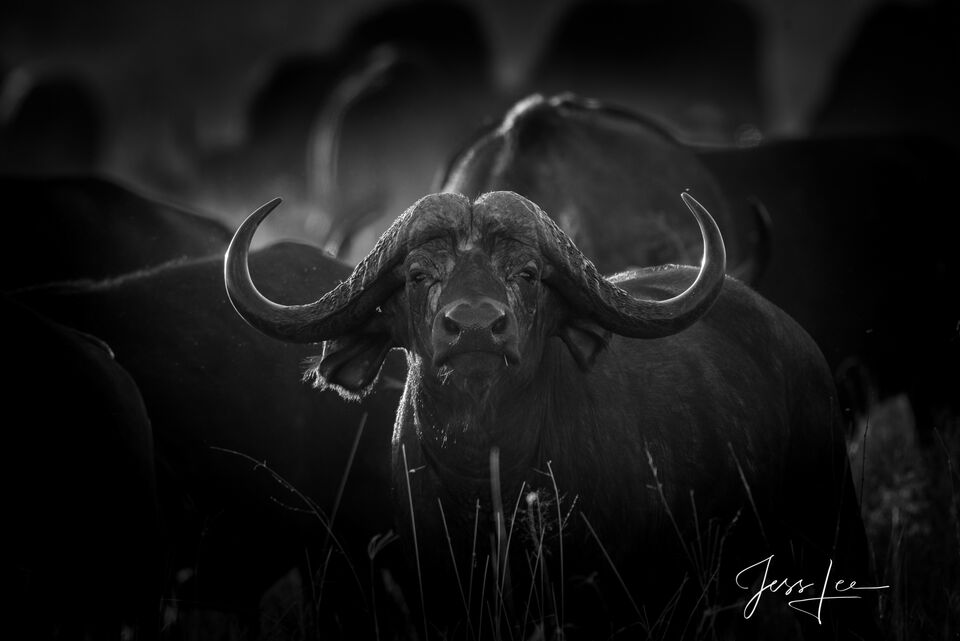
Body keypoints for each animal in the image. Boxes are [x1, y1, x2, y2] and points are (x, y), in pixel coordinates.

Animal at [225, 190, 875, 639]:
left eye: (527, 273)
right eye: (418, 275)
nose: (476, 327)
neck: (487, 485)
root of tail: (801, 348)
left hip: (831, 525)